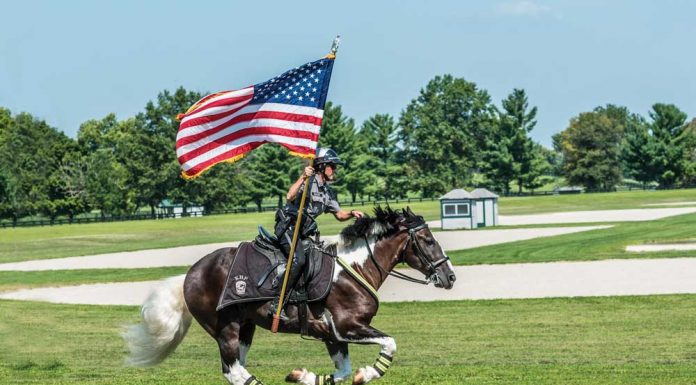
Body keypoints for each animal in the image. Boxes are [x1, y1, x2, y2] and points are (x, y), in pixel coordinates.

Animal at [125, 207, 456, 384]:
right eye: (428, 240)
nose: (450, 276)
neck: (353, 269)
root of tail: (190, 274)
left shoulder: (332, 335)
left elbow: (342, 372)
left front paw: (302, 375)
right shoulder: (348, 327)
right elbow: (389, 344)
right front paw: (368, 372)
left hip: (245, 328)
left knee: (235, 369)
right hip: (225, 329)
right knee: (233, 370)